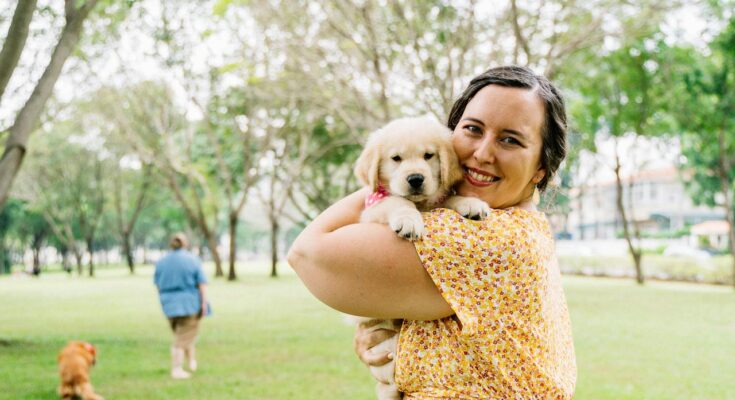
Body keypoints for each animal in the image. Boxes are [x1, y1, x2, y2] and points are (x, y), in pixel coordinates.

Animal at [350, 115, 488, 400]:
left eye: (428, 155)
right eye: (396, 158)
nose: (415, 178)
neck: (421, 203)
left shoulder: (436, 200)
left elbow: (447, 199)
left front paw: (470, 203)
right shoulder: (372, 211)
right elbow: (398, 202)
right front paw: (408, 220)